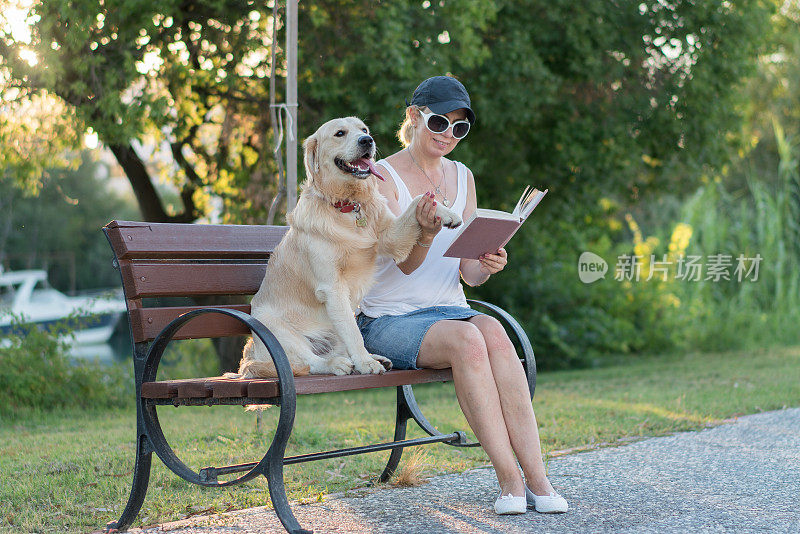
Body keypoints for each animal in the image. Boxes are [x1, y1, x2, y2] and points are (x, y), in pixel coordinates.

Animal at [234, 118, 460, 378]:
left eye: (364, 130)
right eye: (340, 133)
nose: (367, 141)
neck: (348, 206)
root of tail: (251, 354)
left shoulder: (390, 235)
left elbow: (417, 202)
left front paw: (447, 214)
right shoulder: (333, 287)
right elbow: (354, 333)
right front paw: (365, 363)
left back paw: (375, 358)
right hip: (276, 327)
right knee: (308, 362)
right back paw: (338, 364)